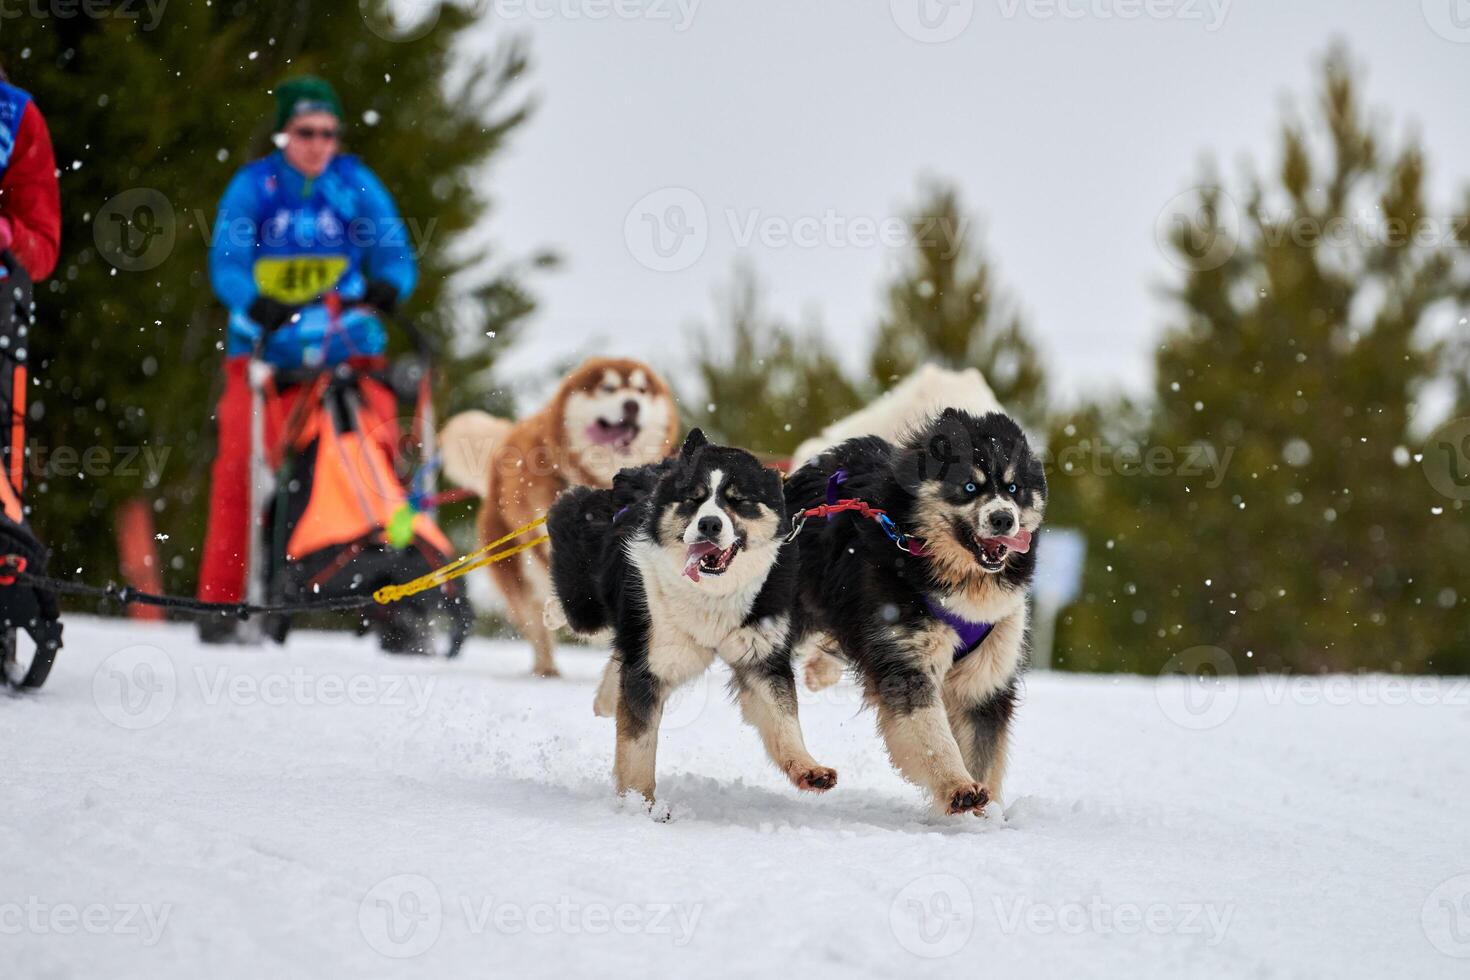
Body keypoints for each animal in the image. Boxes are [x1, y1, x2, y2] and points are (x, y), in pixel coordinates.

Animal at [546, 429, 834, 805]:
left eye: (738, 500)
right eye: (693, 499)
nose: (709, 523)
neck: (711, 595)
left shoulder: (761, 656)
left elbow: (783, 716)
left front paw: (808, 768)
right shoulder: (652, 664)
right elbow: (638, 743)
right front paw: (641, 803)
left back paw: (605, 697)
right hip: (588, 601)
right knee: (584, 614)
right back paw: (551, 614)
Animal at [787, 411, 1040, 816]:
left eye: (1014, 488)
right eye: (969, 487)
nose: (1003, 519)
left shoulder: (985, 678)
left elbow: (983, 750)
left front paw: (985, 812)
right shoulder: (906, 657)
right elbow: (931, 733)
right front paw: (958, 786)